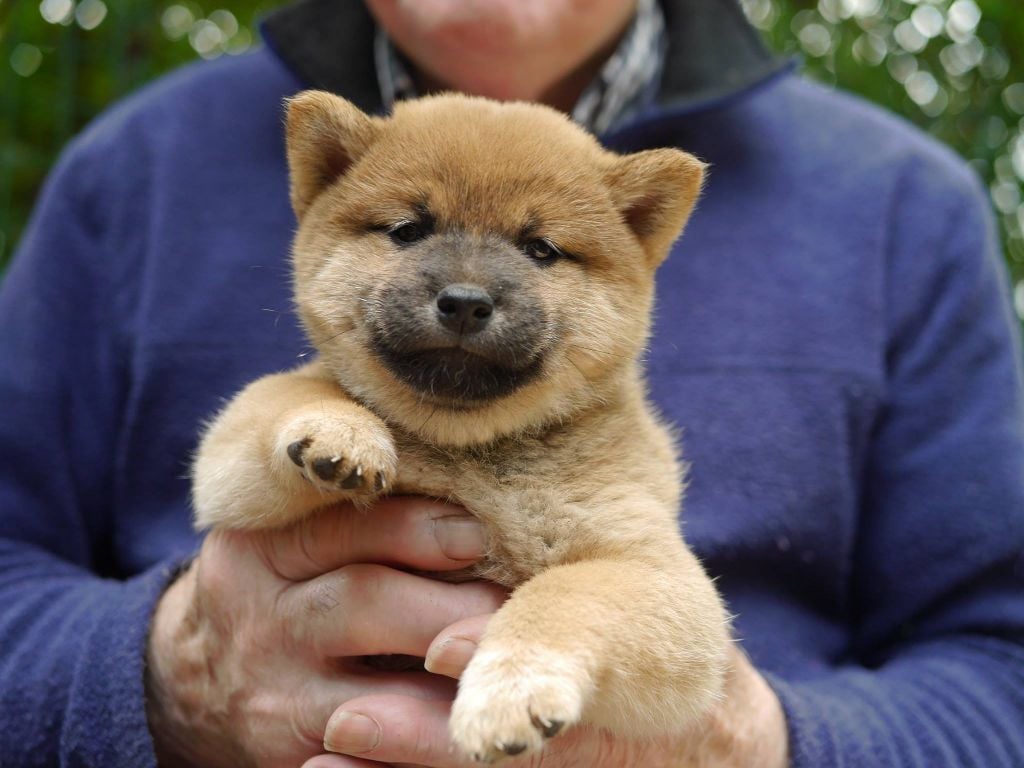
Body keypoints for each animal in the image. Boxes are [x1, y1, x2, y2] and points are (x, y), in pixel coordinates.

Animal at [192, 90, 729, 762]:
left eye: (541, 248)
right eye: (409, 230)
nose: (466, 302)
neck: (471, 455)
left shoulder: (657, 574)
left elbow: (560, 598)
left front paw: (509, 691)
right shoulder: (225, 470)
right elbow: (284, 396)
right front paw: (342, 434)